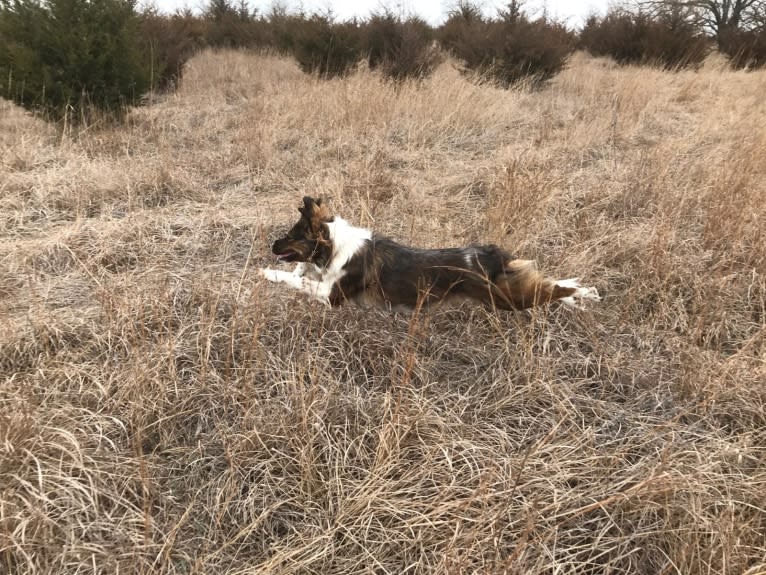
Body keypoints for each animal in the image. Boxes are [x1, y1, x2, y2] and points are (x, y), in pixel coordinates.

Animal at [260, 196, 604, 310]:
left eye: (291, 236)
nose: (271, 246)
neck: (336, 246)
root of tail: (490, 254)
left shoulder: (331, 296)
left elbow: (296, 280)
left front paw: (267, 273)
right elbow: (301, 273)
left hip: (505, 299)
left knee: (550, 288)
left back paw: (582, 293)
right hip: (507, 288)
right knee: (548, 282)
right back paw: (585, 292)